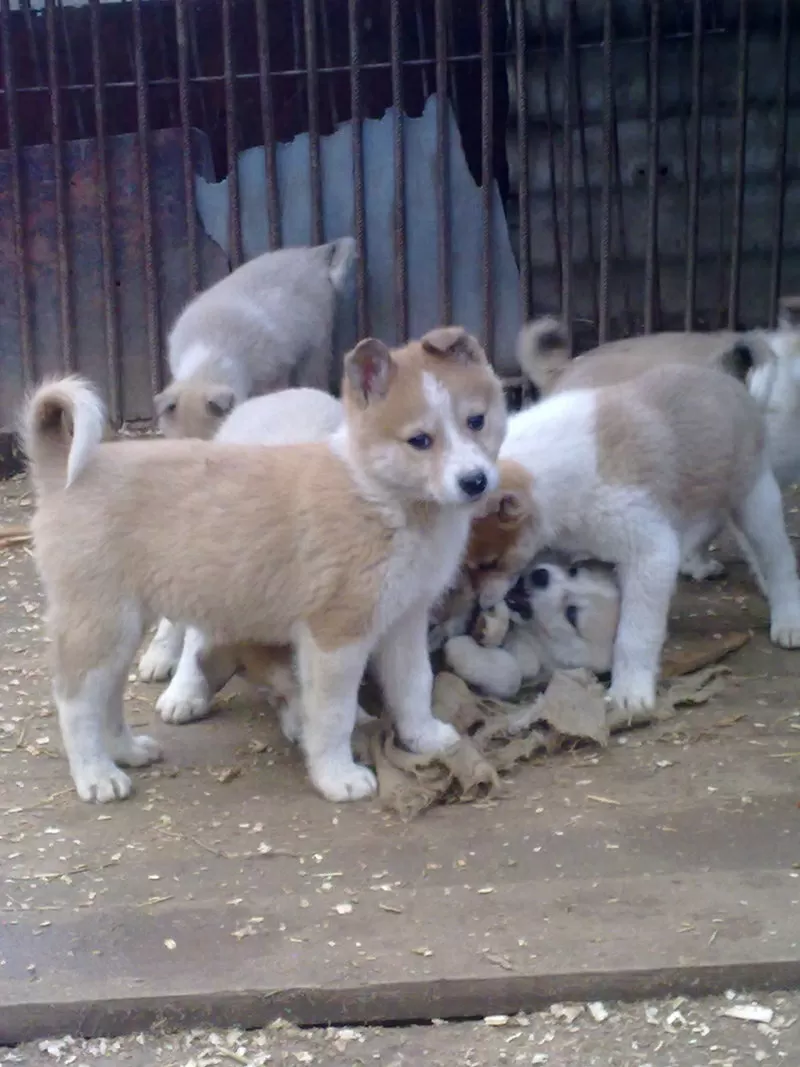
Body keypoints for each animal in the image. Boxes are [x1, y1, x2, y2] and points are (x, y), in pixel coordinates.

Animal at [462, 362, 800, 712]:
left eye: (489, 563)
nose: (480, 607)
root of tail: (731, 382)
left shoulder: (651, 552)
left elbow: (635, 633)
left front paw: (630, 689)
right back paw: (700, 563)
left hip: (755, 500)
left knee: (778, 560)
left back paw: (788, 618)